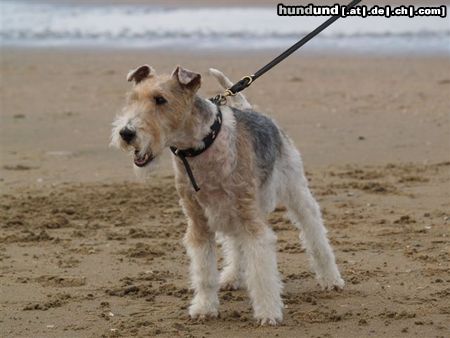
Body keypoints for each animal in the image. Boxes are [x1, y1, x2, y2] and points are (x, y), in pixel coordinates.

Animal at [110, 63, 342, 324]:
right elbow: (204, 273)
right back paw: (231, 277)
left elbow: (261, 272)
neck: (201, 147)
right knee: (235, 244)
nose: (126, 133)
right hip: (229, 212)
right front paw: (204, 308)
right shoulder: (198, 222)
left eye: (160, 99)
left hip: (295, 191)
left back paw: (331, 279)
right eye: (132, 98)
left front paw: (268, 313)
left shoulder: (251, 220)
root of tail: (251, 110)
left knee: (315, 234)